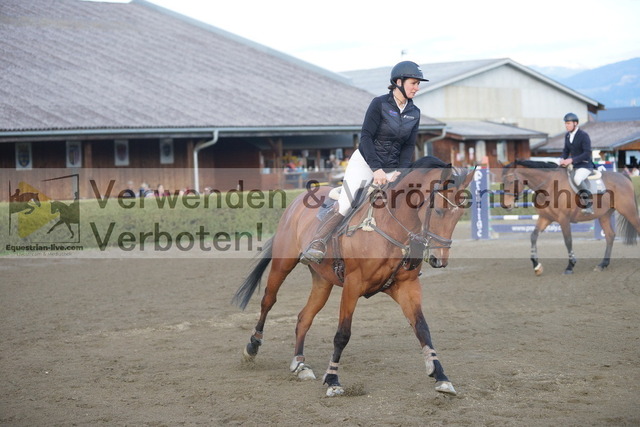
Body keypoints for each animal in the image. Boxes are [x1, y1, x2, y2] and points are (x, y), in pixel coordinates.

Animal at [232, 157, 472, 398]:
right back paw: (252, 347)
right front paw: (332, 380)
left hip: (322, 281)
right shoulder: (353, 285)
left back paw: (300, 364)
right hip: (283, 264)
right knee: (268, 300)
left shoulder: (406, 286)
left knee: (304, 317)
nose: (439, 260)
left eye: (459, 215)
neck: (391, 227)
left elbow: (422, 328)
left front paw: (440, 376)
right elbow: (342, 334)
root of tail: (297, 200)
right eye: (439, 211)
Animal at [502, 159, 636, 276]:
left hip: (628, 211)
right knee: (609, 235)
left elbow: (568, 241)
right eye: (503, 182)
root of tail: (623, 177)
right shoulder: (545, 218)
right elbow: (533, 236)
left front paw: (570, 266)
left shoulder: (564, 219)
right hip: (604, 215)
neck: (549, 186)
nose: (505, 205)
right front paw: (537, 266)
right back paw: (602, 264)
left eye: (511, 181)